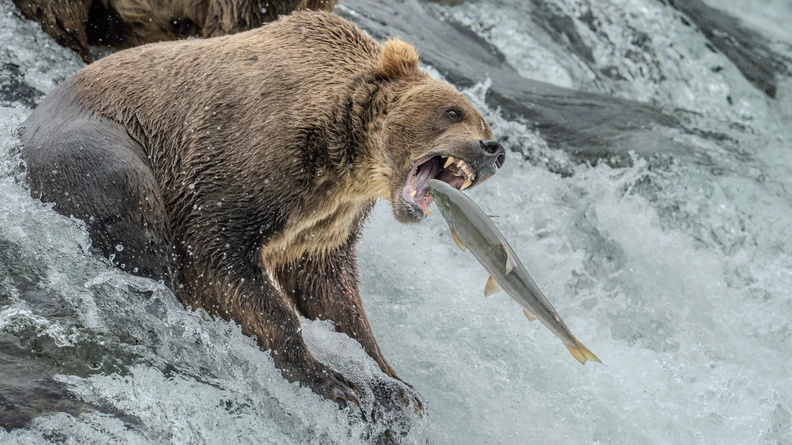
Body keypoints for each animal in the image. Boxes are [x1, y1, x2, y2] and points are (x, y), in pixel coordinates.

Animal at [19, 10, 505, 410]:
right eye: (453, 110)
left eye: (483, 122)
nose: (493, 150)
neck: (343, 154)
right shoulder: (248, 157)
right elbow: (217, 252)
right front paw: (332, 379)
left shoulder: (329, 219)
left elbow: (332, 291)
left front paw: (395, 384)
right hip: (96, 144)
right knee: (132, 209)